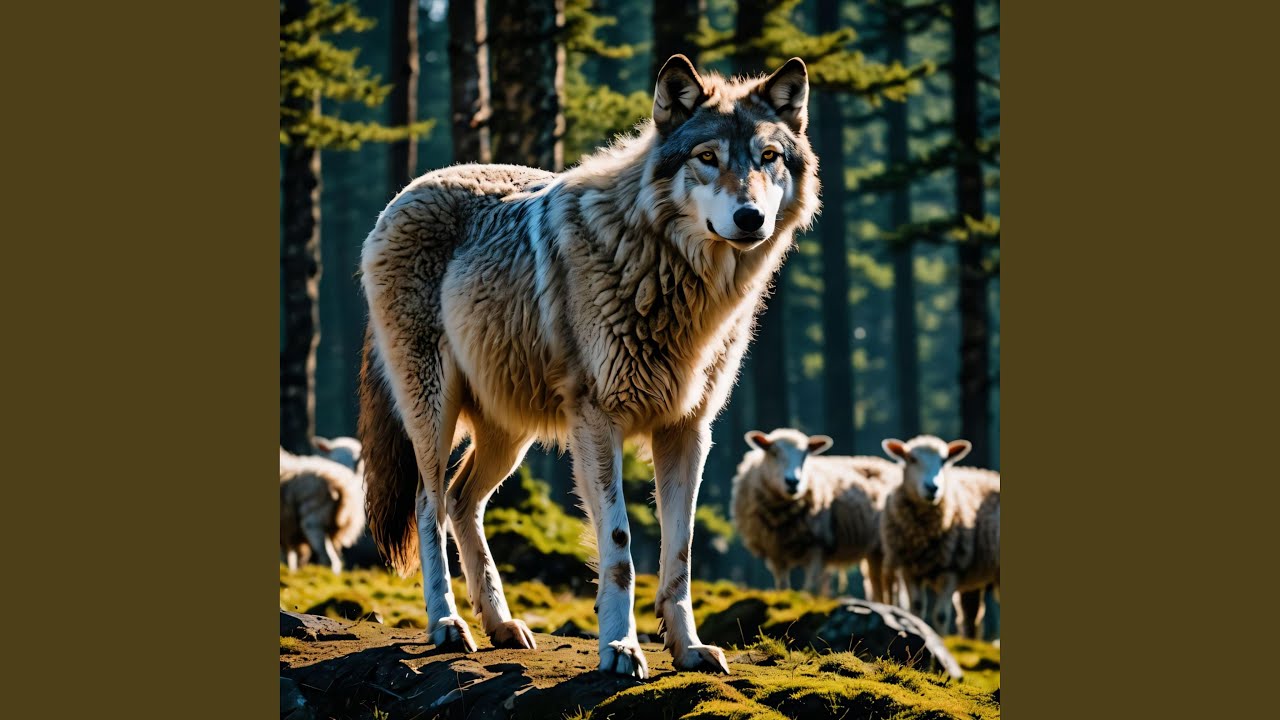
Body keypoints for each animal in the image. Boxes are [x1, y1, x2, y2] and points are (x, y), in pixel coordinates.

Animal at [357, 54, 819, 678]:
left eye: (768, 157)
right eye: (708, 158)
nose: (749, 218)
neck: (669, 273)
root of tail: (405, 193)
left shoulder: (689, 430)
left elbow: (680, 553)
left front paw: (688, 648)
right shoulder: (600, 422)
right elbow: (620, 548)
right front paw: (620, 649)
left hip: (509, 432)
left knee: (461, 500)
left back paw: (501, 623)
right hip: (435, 413)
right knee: (429, 505)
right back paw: (448, 623)